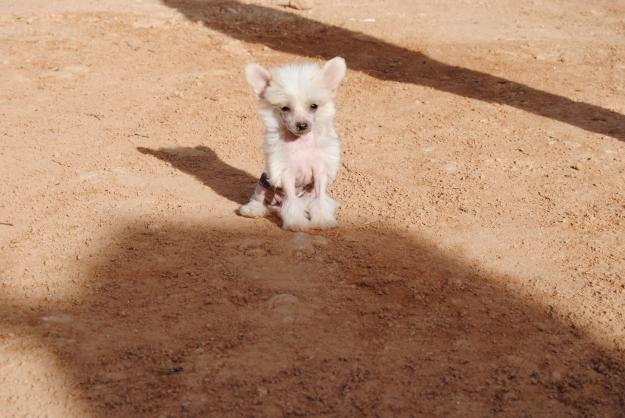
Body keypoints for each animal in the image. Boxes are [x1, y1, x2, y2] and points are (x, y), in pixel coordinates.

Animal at [239, 56, 346, 230]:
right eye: (285, 108)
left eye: (314, 106)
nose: (301, 125)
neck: (301, 142)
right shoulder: (286, 174)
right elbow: (292, 202)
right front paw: (296, 222)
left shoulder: (320, 172)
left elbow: (320, 199)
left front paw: (323, 220)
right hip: (264, 183)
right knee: (259, 198)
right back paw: (253, 209)